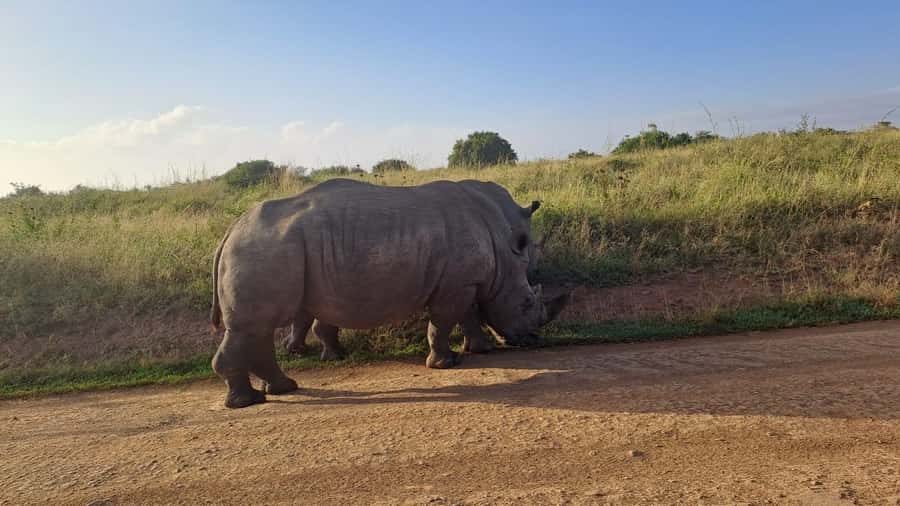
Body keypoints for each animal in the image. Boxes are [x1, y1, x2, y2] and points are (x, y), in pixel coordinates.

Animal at [210, 178, 568, 408]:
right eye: (526, 303)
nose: (533, 338)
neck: (503, 252)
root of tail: (231, 230)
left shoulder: (465, 281)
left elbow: (467, 316)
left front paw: (477, 351)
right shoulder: (458, 284)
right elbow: (444, 322)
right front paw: (446, 364)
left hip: (268, 250)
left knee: (258, 328)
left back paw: (282, 389)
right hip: (263, 249)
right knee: (252, 327)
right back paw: (246, 403)